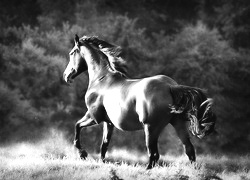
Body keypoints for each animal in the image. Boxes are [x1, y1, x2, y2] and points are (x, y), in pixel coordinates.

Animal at [63, 34, 217, 169]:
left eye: (71, 53)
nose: (66, 75)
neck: (101, 79)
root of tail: (170, 86)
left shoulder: (94, 117)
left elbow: (77, 126)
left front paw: (82, 154)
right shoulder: (108, 123)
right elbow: (104, 145)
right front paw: (102, 162)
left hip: (151, 128)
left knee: (154, 155)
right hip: (177, 124)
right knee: (188, 149)